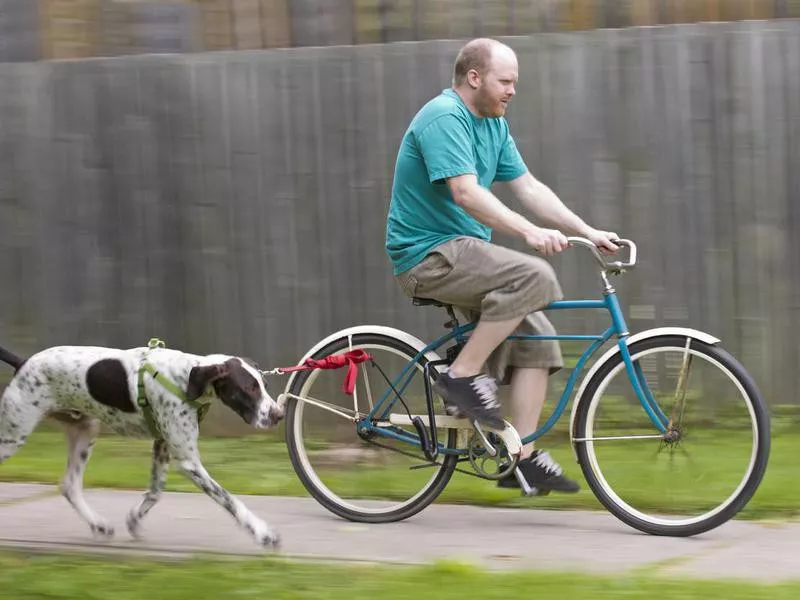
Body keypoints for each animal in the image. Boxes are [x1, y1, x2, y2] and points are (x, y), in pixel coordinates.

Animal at [0, 340, 284, 548]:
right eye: (249, 389)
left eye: (264, 385)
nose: (279, 415)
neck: (185, 378)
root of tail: (23, 363)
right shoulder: (189, 462)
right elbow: (230, 500)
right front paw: (262, 532)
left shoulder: (162, 446)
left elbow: (156, 491)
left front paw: (134, 520)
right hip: (14, 436)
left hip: (84, 430)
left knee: (69, 485)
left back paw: (98, 524)